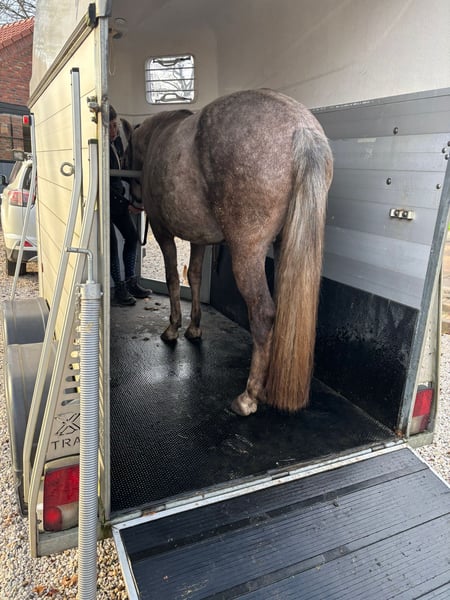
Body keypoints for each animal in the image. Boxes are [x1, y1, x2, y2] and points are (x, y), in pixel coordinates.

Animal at [125, 89, 333, 416]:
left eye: (125, 151)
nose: (132, 202)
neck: (159, 137)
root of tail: (301, 129)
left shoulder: (162, 232)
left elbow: (173, 278)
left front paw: (173, 328)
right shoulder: (198, 239)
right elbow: (195, 277)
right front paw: (194, 328)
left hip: (247, 253)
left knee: (263, 314)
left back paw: (248, 397)